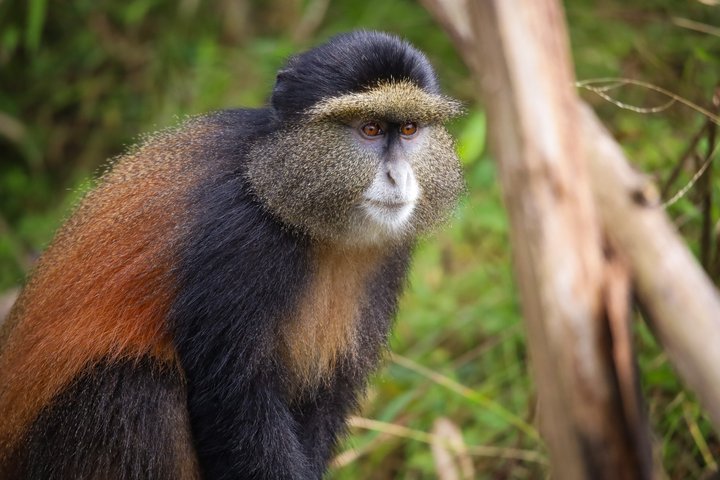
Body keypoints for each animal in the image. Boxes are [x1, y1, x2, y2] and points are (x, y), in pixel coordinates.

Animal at [0, 30, 463, 479]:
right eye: (370, 129)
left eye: (408, 129)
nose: (398, 176)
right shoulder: (239, 240)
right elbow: (234, 400)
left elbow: (327, 396)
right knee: (135, 387)